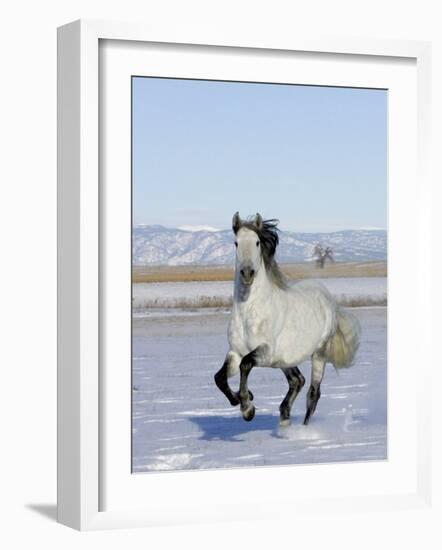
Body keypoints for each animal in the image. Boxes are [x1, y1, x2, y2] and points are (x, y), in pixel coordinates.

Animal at [216, 212, 360, 426]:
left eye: (257, 242)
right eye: (236, 243)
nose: (247, 273)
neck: (248, 314)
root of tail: (327, 297)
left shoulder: (265, 352)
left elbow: (246, 365)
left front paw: (248, 409)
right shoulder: (235, 352)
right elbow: (220, 378)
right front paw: (245, 399)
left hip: (319, 353)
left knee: (313, 393)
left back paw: (304, 427)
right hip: (286, 360)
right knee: (297, 381)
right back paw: (285, 420)